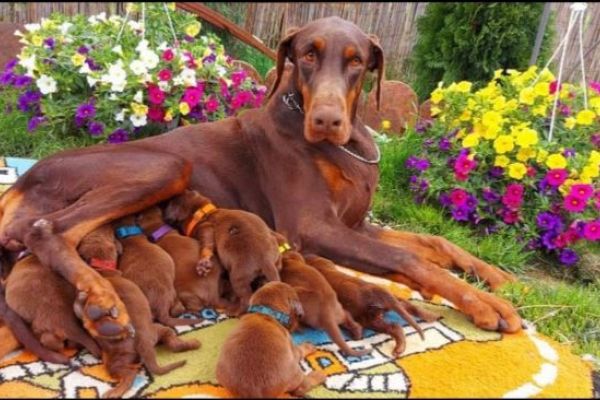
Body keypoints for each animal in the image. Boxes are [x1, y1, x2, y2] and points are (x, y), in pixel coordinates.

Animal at [308, 255, 438, 354]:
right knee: (407, 307)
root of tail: (379, 293)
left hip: (370, 319)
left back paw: (398, 348)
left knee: (394, 327)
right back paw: (430, 316)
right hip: (386, 308)